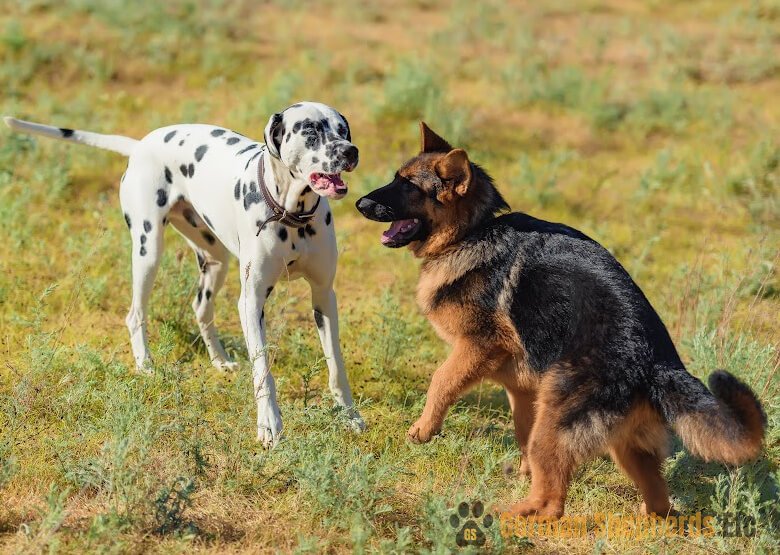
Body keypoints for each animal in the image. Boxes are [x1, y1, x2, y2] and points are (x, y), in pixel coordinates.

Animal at [4, 102, 364, 446]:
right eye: (310, 132)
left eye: (343, 130)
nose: (350, 151)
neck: (291, 215)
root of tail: (140, 144)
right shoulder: (251, 301)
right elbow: (263, 370)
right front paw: (269, 425)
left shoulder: (323, 296)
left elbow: (336, 365)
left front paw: (349, 415)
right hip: (148, 250)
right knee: (135, 314)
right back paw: (145, 365)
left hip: (216, 259)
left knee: (201, 308)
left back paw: (220, 362)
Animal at [356, 124, 764, 520]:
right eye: (396, 178)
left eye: (407, 185)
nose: (358, 202)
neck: (474, 231)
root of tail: (654, 361)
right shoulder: (522, 391)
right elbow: (520, 429)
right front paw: (522, 471)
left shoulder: (478, 345)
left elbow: (441, 380)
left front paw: (424, 429)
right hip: (620, 444)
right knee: (659, 502)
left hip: (555, 423)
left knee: (553, 504)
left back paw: (506, 514)